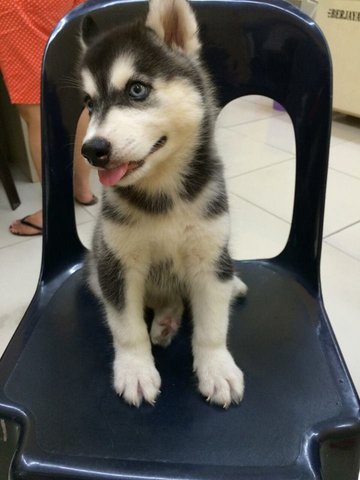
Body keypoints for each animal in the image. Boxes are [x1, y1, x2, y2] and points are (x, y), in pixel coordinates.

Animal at [79, 0, 248, 408]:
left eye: (137, 89)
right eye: (89, 104)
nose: (92, 150)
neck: (164, 195)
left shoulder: (210, 254)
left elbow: (212, 325)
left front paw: (217, 367)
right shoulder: (115, 263)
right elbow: (126, 327)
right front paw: (135, 370)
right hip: (95, 267)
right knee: (162, 300)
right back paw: (166, 319)